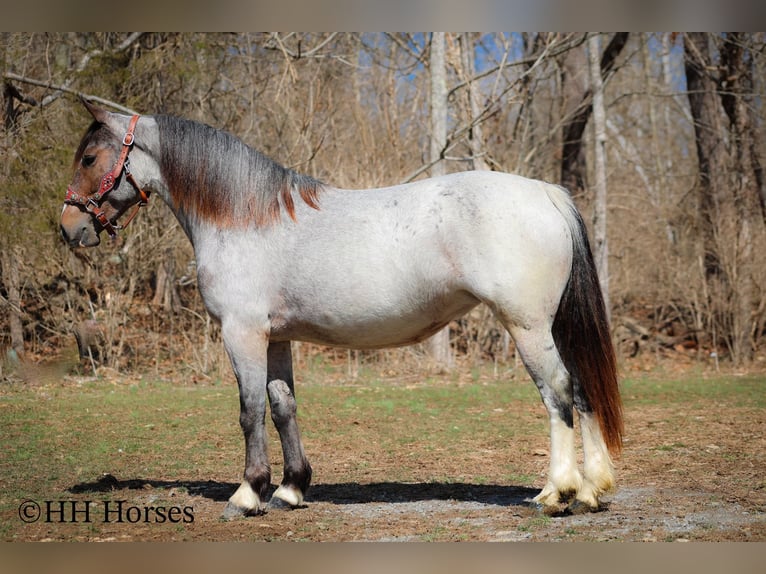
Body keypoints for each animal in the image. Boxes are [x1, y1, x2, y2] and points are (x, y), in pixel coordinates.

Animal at [61, 98, 623, 518]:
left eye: (89, 158)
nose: (69, 228)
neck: (243, 216)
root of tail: (547, 194)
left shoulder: (242, 333)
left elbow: (249, 409)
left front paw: (247, 494)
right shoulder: (276, 337)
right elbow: (283, 407)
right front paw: (290, 490)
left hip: (527, 327)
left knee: (558, 393)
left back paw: (556, 492)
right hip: (551, 328)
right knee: (583, 391)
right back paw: (592, 490)